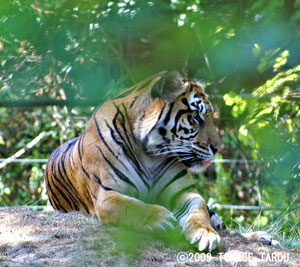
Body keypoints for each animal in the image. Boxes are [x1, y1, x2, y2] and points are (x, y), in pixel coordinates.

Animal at [45, 70, 225, 252]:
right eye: (195, 116)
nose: (219, 148)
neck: (150, 155)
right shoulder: (107, 195)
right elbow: (132, 207)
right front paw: (161, 218)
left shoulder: (184, 191)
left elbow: (199, 208)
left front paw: (205, 233)